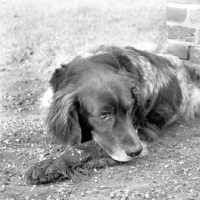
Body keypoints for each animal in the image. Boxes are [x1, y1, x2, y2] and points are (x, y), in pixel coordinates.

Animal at [25, 45, 200, 184]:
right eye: (104, 115)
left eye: (129, 109)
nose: (136, 151)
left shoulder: (141, 132)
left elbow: (86, 146)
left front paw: (53, 163)